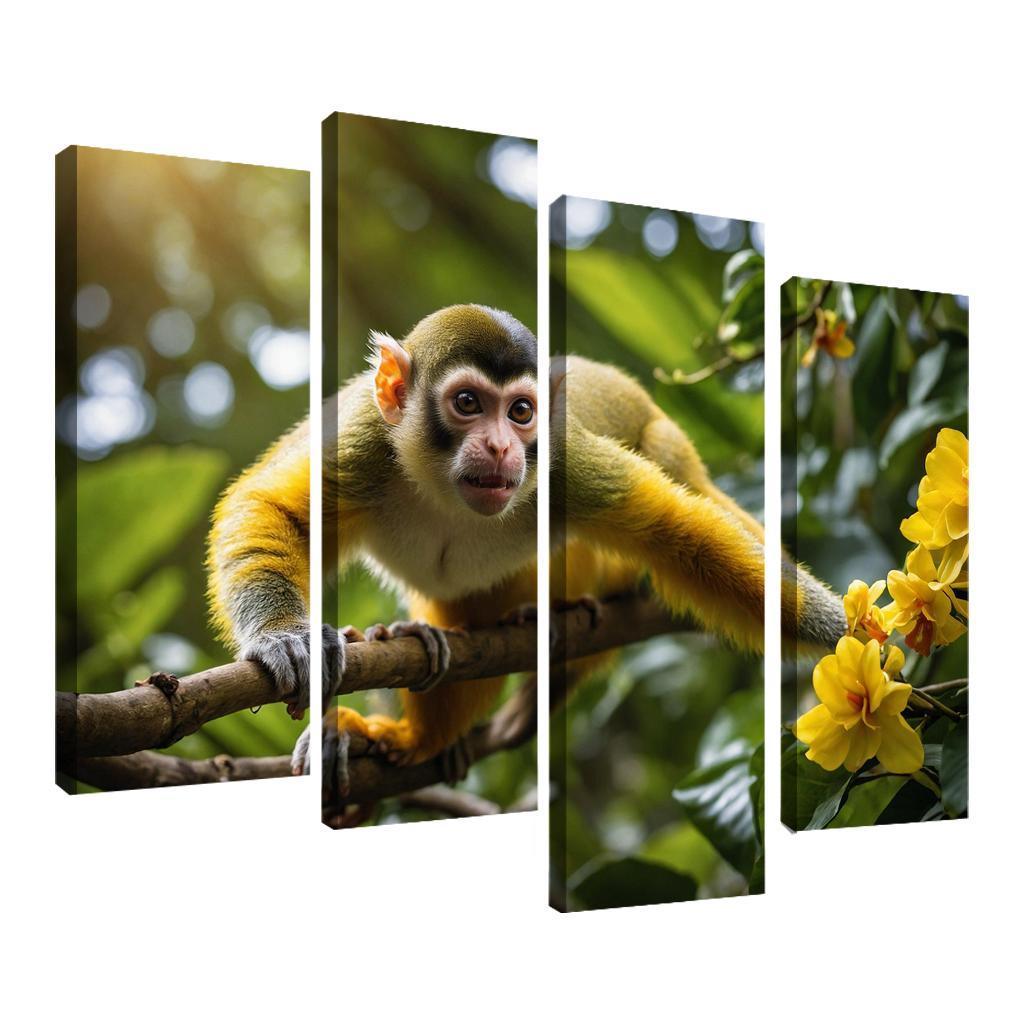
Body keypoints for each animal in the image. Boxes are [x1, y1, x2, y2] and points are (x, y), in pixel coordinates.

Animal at [206, 303, 844, 824]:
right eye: (467, 404)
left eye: (520, 412)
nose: (499, 447)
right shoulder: (362, 435)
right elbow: (275, 510)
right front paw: (286, 637)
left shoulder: (559, 460)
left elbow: (678, 533)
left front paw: (848, 632)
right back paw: (407, 720)